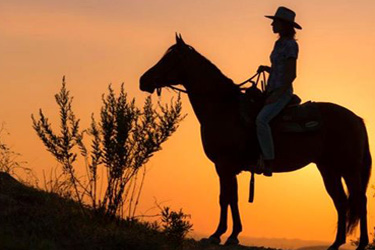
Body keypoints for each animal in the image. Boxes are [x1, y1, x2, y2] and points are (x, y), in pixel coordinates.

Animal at [140, 34, 372, 249]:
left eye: (169, 59)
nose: (143, 80)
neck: (224, 109)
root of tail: (357, 119)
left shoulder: (224, 165)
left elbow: (226, 197)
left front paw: (222, 235)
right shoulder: (225, 167)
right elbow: (230, 197)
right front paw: (229, 234)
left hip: (349, 169)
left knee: (360, 200)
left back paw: (361, 244)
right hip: (329, 169)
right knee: (341, 201)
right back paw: (336, 243)